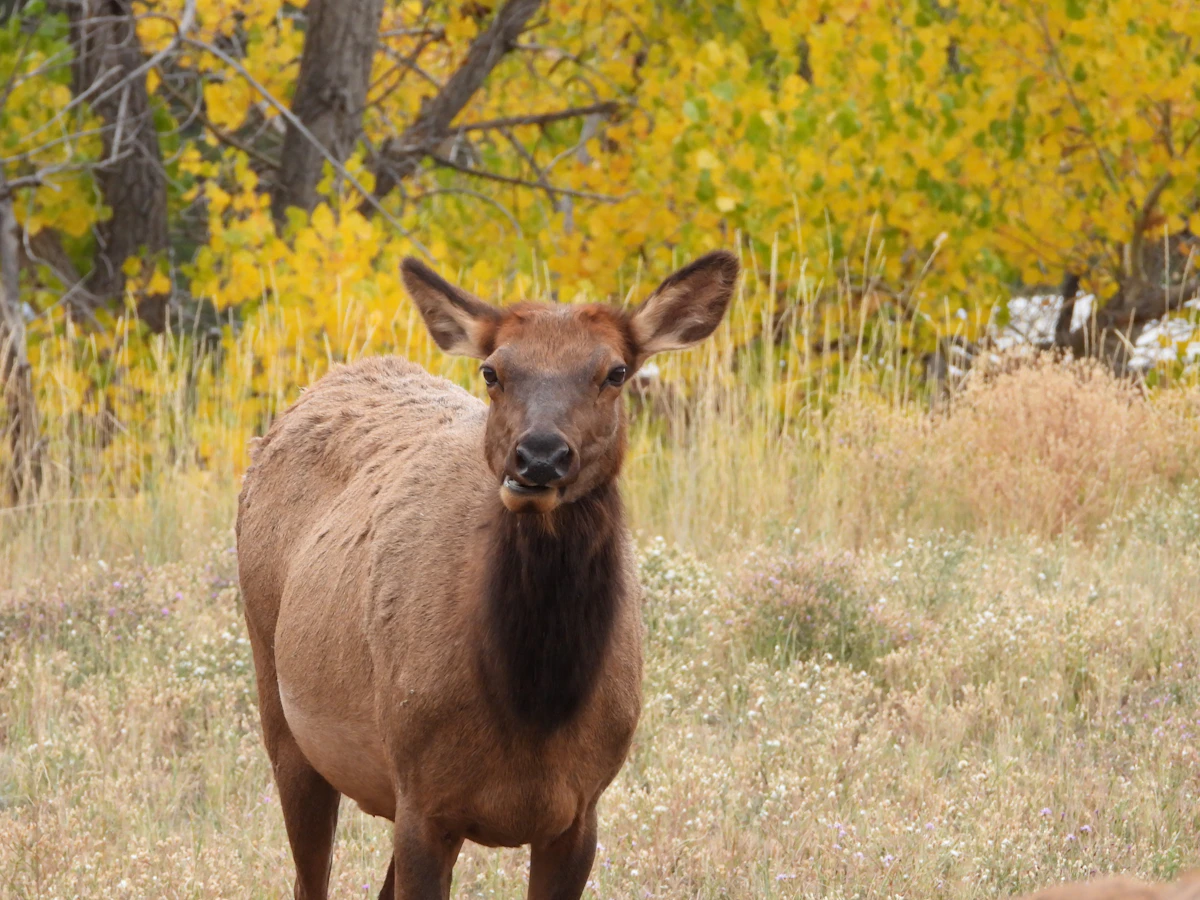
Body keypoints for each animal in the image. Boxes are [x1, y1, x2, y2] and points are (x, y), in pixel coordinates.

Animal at [236, 251, 739, 900]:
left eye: (616, 371)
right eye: (493, 372)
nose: (540, 456)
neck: (531, 707)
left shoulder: (579, 811)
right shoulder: (424, 800)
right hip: (284, 713)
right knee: (307, 876)